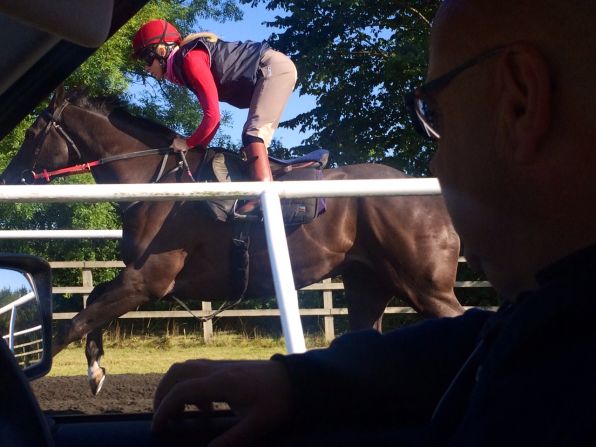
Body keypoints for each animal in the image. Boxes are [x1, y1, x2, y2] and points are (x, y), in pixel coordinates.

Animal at [0, 88, 464, 396]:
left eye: (32, 132)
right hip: (369, 284)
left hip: (423, 285)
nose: (9, 176)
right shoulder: (143, 280)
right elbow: (92, 303)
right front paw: (96, 369)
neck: (158, 182)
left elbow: (75, 322)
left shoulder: (148, 280)